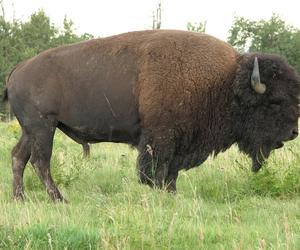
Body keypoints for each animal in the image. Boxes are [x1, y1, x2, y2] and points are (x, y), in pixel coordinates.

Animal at [3, 29, 298, 201]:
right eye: (275, 101)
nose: (293, 132)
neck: (224, 83)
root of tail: (18, 69)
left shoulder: (180, 143)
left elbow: (171, 172)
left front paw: (172, 193)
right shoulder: (160, 138)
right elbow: (156, 170)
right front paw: (160, 192)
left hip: (32, 130)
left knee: (19, 156)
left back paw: (20, 198)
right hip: (44, 127)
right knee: (40, 161)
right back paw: (58, 198)